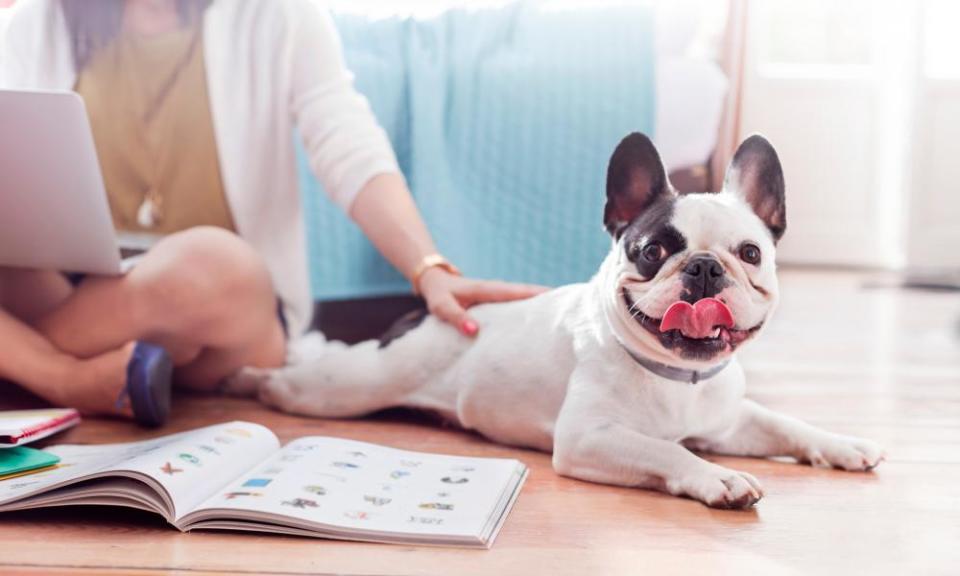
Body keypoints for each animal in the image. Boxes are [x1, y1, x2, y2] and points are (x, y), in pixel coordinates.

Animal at [234, 134, 884, 508]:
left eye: (749, 253)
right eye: (652, 251)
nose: (703, 268)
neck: (679, 378)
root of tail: (427, 311)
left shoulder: (729, 421)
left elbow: (784, 423)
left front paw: (842, 444)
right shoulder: (588, 438)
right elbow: (669, 453)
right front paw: (717, 479)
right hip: (339, 390)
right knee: (294, 380)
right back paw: (248, 379)